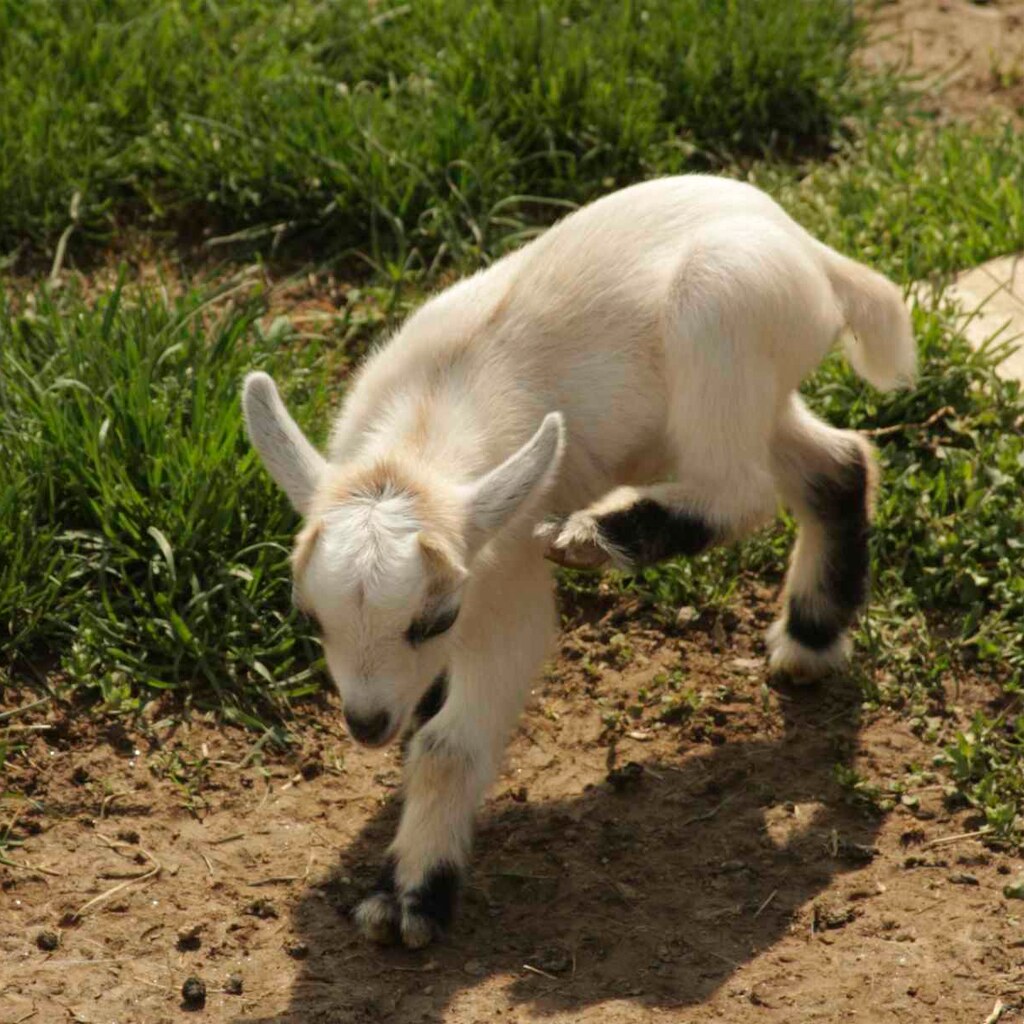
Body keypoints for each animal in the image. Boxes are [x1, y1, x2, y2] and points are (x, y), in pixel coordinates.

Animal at [242, 175, 915, 948]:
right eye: (311, 620)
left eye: (433, 620)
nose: (366, 724)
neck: (423, 427)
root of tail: (814, 253)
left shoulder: (505, 591)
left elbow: (446, 747)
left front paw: (410, 899)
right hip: (753, 393)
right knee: (838, 463)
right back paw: (810, 637)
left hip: (721, 322)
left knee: (741, 488)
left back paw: (599, 535)